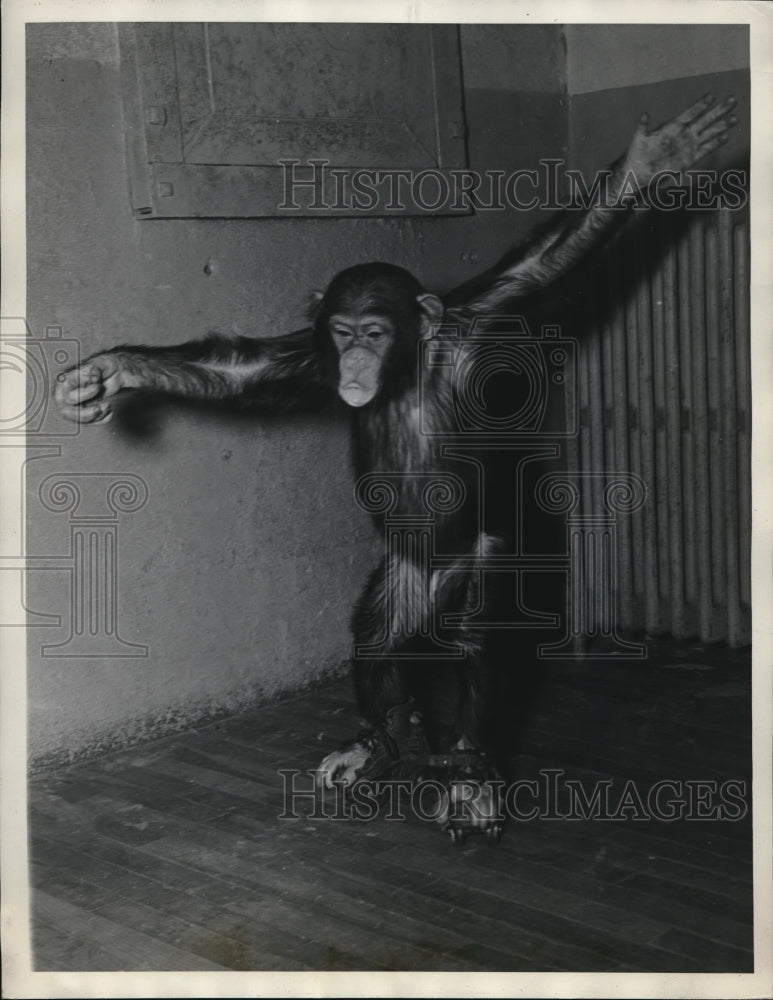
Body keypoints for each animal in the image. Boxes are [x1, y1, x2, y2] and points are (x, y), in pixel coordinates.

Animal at [55, 94, 738, 837]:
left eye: (375, 333)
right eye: (343, 333)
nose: (355, 359)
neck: (407, 370)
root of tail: (434, 589)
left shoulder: (484, 320)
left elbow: (544, 265)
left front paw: (651, 162)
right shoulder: (307, 356)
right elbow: (236, 370)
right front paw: (109, 372)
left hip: (480, 561)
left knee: (474, 637)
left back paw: (468, 769)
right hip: (403, 575)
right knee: (377, 633)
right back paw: (377, 741)